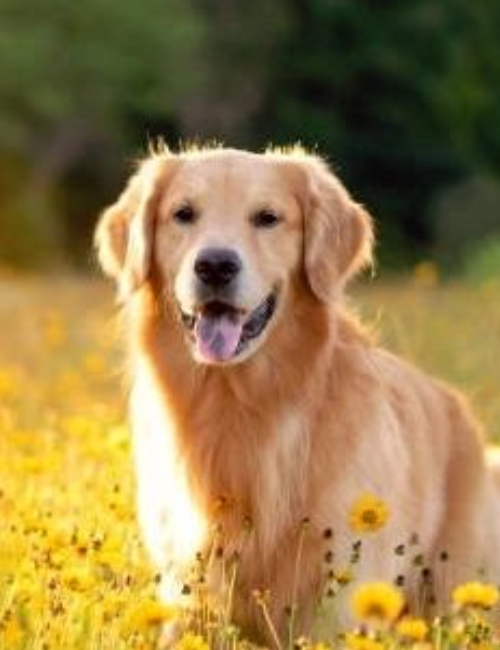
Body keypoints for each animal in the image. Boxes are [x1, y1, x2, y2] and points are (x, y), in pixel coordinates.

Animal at [94, 144, 500, 640]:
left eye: (268, 217)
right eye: (183, 213)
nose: (215, 266)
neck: (240, 405)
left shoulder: (340, 603)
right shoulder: (187, 595)